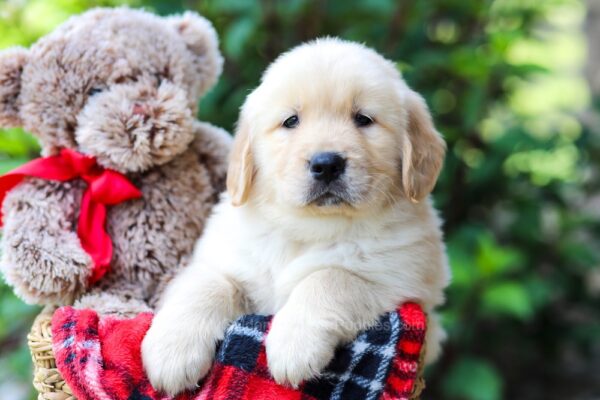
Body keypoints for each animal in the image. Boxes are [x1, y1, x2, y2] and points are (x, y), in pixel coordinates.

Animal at [142, 39, 450, 396]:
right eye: (291, 121)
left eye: (363, 119)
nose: (327, 164)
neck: (309, 227)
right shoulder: (229, 260)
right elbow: (207, 283)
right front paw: (171, 351)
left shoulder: (401, 281)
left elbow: (331, 278)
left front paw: (293, 344)